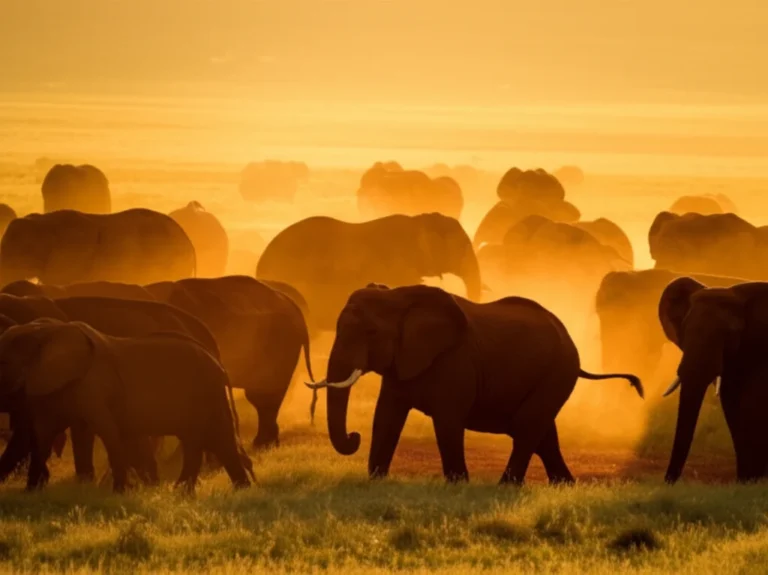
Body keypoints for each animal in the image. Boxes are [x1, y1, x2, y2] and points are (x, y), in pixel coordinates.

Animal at [0, 319, 251, 492]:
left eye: (3, 361)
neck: (47, 331)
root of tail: (220, 364)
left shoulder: (94, 386)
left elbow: (107, 431)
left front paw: (119, 492)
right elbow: (44, 433)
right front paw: (31, 492)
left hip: (207, 394)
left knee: (208, 441)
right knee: (215, 442)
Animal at [306, 285, 643, 484]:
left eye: (371, 332)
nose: (354, 436)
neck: (400, 297)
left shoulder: (456, 362)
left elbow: (447, 421)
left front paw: (458, 485)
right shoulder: (402, 362)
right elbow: (386, 418)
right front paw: (376, 480)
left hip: (558, 371)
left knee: (527, 426)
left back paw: (506, 486)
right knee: (543, 432)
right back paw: (564, 485)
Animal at [657, 278, 768, 483]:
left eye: (730, 334)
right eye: (685, 329)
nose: (668, 482)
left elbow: (752, 405)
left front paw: (753, 482)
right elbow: (732, 406)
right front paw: (746, 482)